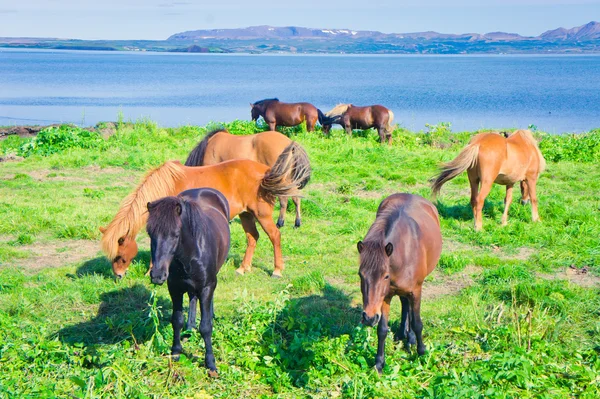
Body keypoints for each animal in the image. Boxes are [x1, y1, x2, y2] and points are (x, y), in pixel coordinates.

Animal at [99, 145, 312, 280]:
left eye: (119, 256)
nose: (118, 276)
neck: (166, 186)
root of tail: (266, 172)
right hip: (246, 214)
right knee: (253, 238)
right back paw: (243, 269)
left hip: (263, 215)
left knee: (275, 236)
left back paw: (277, 270)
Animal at [146, 189, 231, 376]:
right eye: (150, 233)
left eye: (176, 234)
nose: (157, 275)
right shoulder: (174, 288)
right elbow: (177, 320)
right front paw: (176, 351)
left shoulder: (206, 287)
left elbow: (205, 327)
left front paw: (211, 364)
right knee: (192, 298)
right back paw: (190, 327)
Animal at [356, 192, 440, 374]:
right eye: (360, 275)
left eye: (385, 276)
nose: (369, 318)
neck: (403, 253)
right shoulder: (385, 297)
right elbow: (382, 329)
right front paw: (379, 363)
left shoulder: (416, 291)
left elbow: (417, 323)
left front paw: (422, 353)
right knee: (404, 303)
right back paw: (403, 334)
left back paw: (410, 338)